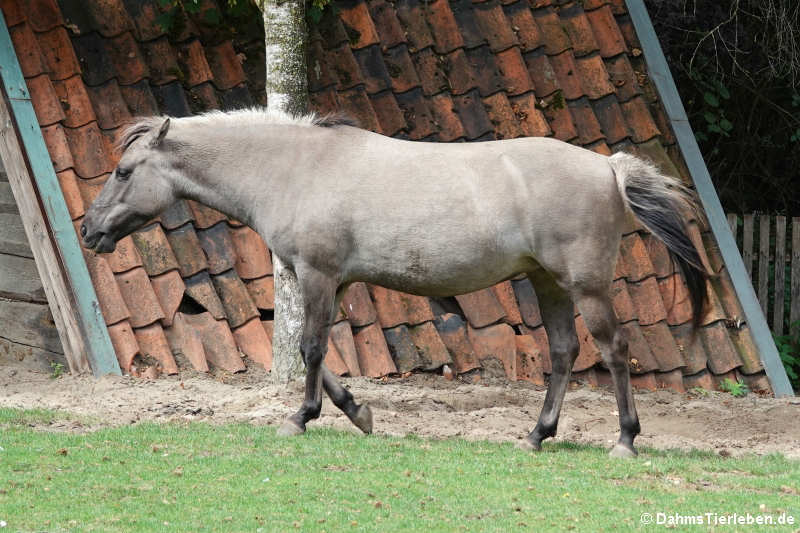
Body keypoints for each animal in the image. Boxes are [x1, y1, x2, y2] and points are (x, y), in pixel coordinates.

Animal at [81, 108, 708, 458]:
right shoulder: (330, 280)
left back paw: (624, 440)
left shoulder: (318, 275)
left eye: (123, 171)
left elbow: (311, 348)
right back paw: (537, 435)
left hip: (585, 286)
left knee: (614, 349)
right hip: (547, 283)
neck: (295, 168)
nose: (89, 229)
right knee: (562, 352)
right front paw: (357, 412)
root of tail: (608, 166)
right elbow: (314, 353)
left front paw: (300, 419)